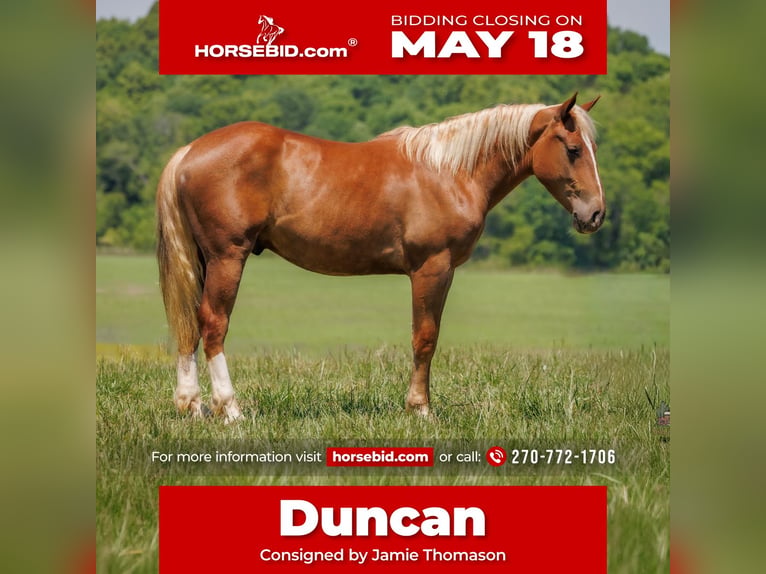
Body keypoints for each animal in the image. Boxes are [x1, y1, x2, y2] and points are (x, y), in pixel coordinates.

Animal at [156, 93, 604, 423]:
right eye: (573, 149)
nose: (595, 214)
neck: (449, 171)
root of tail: (190, 150)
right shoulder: (432, 269)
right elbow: (425, 338)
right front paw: (420, 409)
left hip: (203, 259)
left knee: (191, 323)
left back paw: (192, 404)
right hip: (227, 256)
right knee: (214, 324)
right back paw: (229, 409)